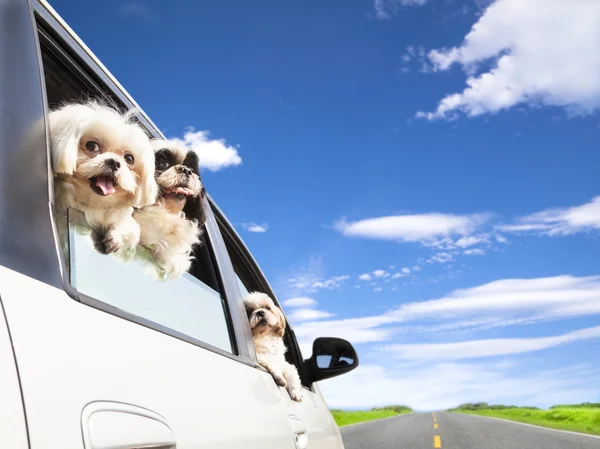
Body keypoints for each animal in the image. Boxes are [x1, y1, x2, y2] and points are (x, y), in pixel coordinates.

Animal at [50, 101, 157, 256]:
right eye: (92, 145)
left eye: (129, 159)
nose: (114, 162)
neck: (93, 202)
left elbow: (130, 227)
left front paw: (116, 238)